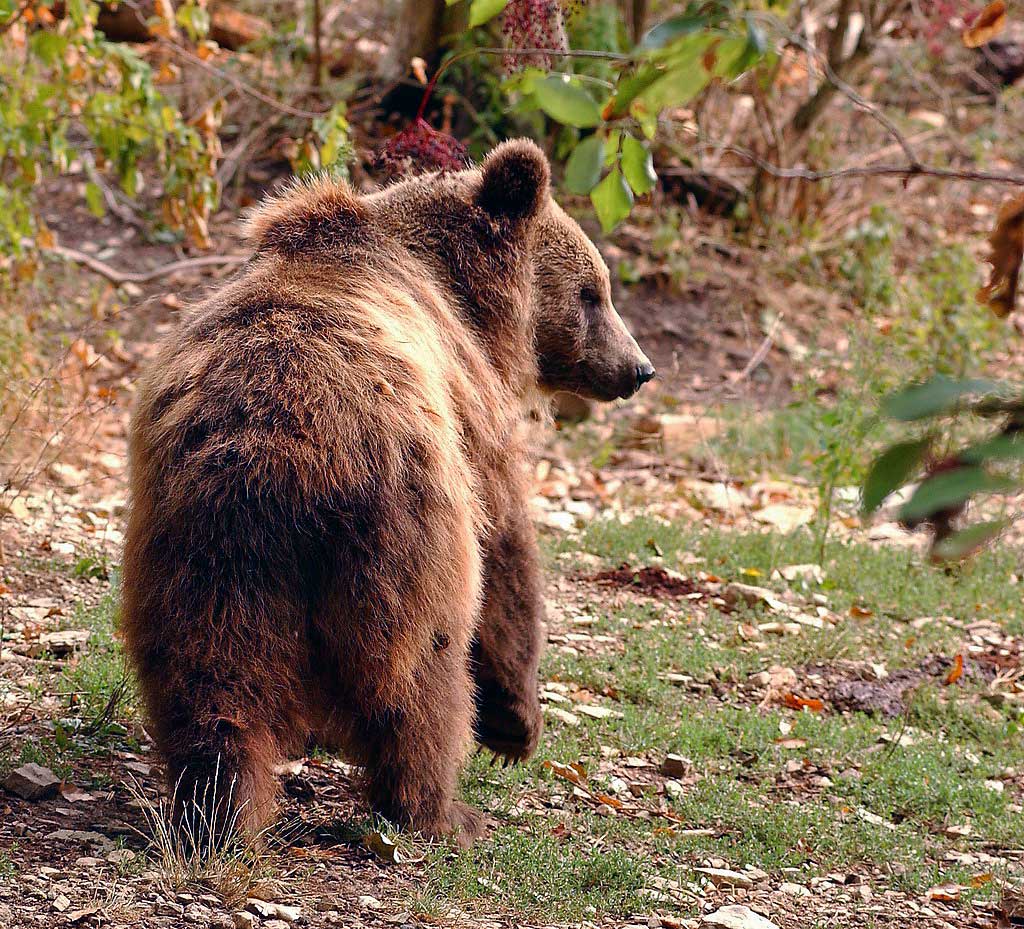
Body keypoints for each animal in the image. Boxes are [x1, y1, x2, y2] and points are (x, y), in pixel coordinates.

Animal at [121, 140, 655, 848]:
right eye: (593, 293)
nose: (639, 368)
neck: (463, 296)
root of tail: (279, 446)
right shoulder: (470, 416)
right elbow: (507, 548)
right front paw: (516, 720)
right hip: (405, 539)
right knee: (424, 676)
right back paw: (444, 811)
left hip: (205, 546)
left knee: (210, 675)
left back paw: (215, 803)